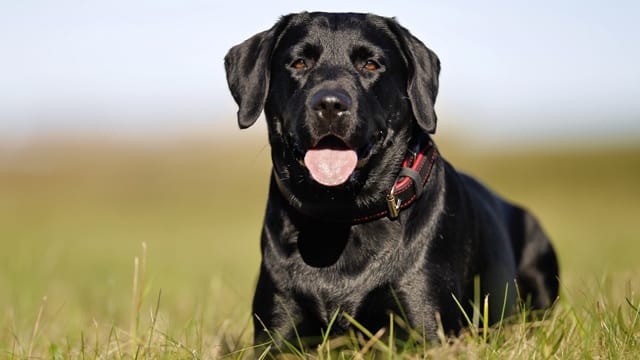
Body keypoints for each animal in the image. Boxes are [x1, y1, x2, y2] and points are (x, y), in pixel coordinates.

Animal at [224, 11, 556, 346]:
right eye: (299, 63)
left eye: (371, 64)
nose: (330, 104)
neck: (340, 216)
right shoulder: (276, 330)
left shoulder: (427, 325)